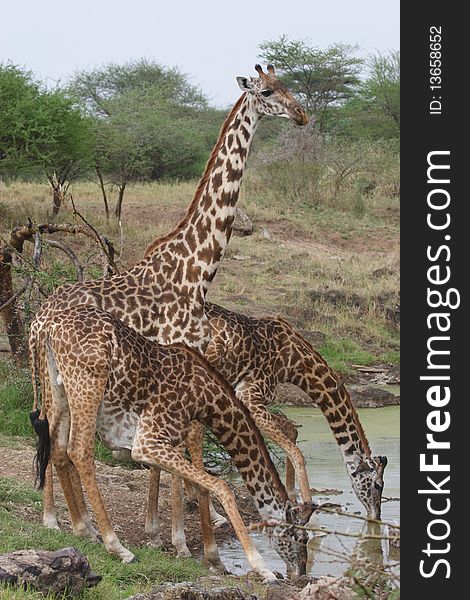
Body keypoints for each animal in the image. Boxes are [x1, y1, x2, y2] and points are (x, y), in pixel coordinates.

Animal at [29, 63, 308, 536]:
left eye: (288, 85)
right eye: (268, 92)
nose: (301, 114)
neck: (196, 268)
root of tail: (37, 317)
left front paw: (160, 523)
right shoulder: (182, 351)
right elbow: (188, 439)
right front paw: (181, 533)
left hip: (59, 379)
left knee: (55, 434)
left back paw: (67, 518)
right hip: (66, 379)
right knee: (56, 434)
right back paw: (55, 519)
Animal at [32, 304, 316, 580]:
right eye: (299, 536)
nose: (301, 572)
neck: (206, 398)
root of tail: (48, 328)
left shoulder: (164, 440)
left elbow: (193, 483)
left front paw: (202, 554)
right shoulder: (148, 441)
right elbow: (221, 485)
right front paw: (260, 567)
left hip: (56, 389)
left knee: (58, 449)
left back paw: (84, 530)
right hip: (87, 385)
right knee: (79, 451)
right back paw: (117, 546)